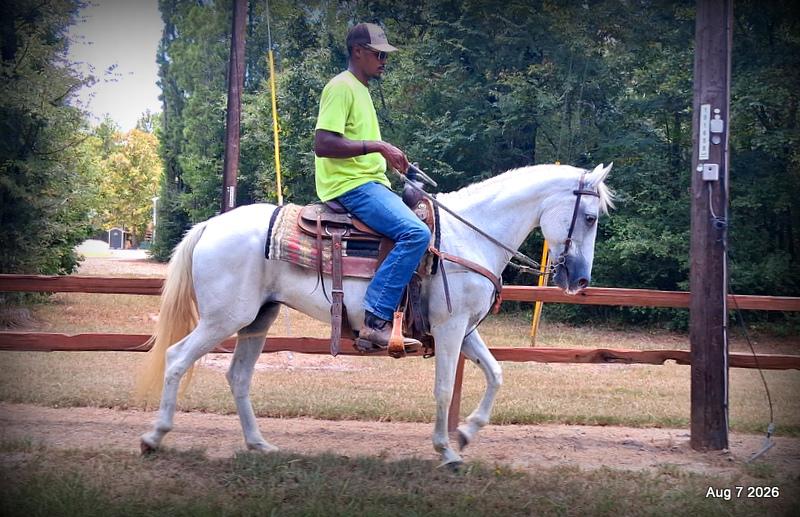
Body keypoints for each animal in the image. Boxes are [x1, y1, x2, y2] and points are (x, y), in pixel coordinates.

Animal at [137, 163, 613, 467]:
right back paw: (153, 436)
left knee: (238, 376)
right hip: (224, 318)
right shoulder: (451, 328)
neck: (468, 237)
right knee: (177, 358)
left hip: (258, 320)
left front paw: (465, 433)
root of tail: (210, 225)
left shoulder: (462, 330)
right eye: (590, 217)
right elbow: (444, 389)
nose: (580, 279)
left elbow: (496, 374)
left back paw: (259, 444)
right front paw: (447, 451)